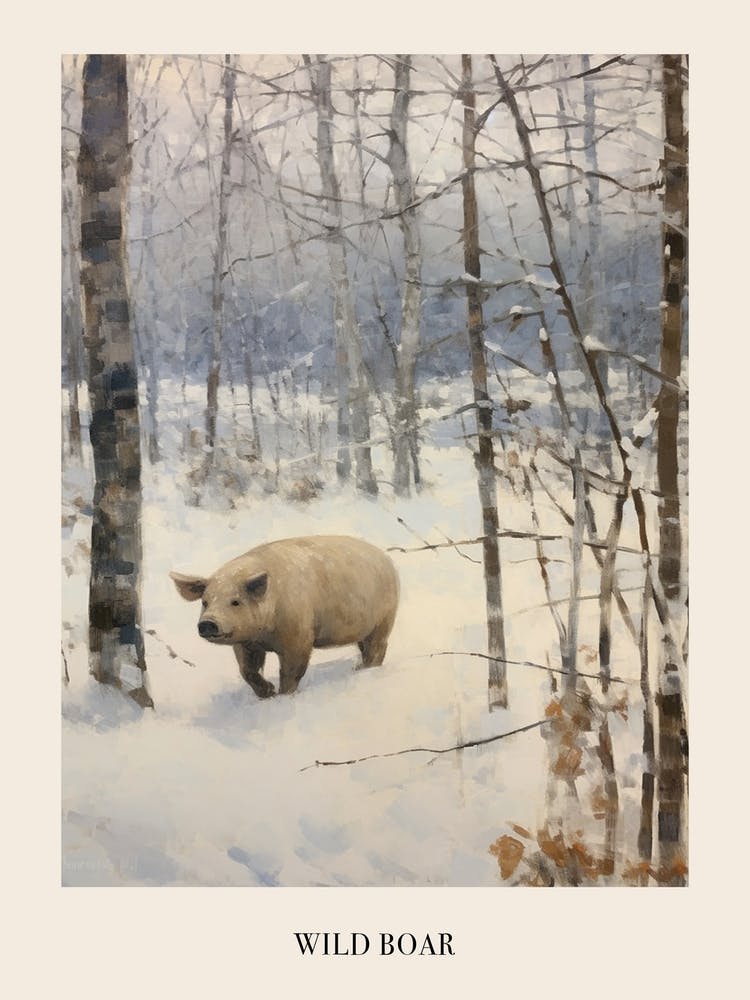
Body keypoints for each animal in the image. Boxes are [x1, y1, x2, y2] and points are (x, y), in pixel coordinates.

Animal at [170, 535, 399, 698]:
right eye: (205, 602)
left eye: (235, 601)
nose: (207, 623)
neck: (264, 635)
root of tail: (386, 559)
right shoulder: (246, 643)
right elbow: (247, 670)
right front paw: (267, 694)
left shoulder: (299, 634)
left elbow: (291, 669)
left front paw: (283, 695)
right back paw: (358, 667)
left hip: (384, 617)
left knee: (378, 646)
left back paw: (364, 670)